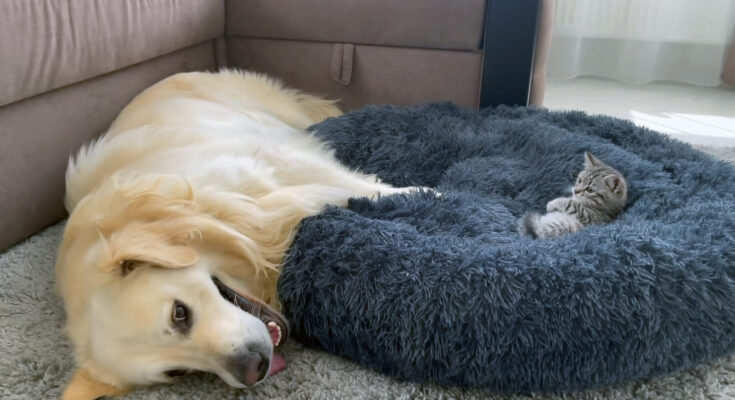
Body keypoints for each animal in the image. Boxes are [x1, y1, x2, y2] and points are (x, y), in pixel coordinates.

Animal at [55, 70, 422, 398]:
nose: (253, 368)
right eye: (176, 372)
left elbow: (364, 186)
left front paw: (424, 192)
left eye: (179, 313)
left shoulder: (280, 161)